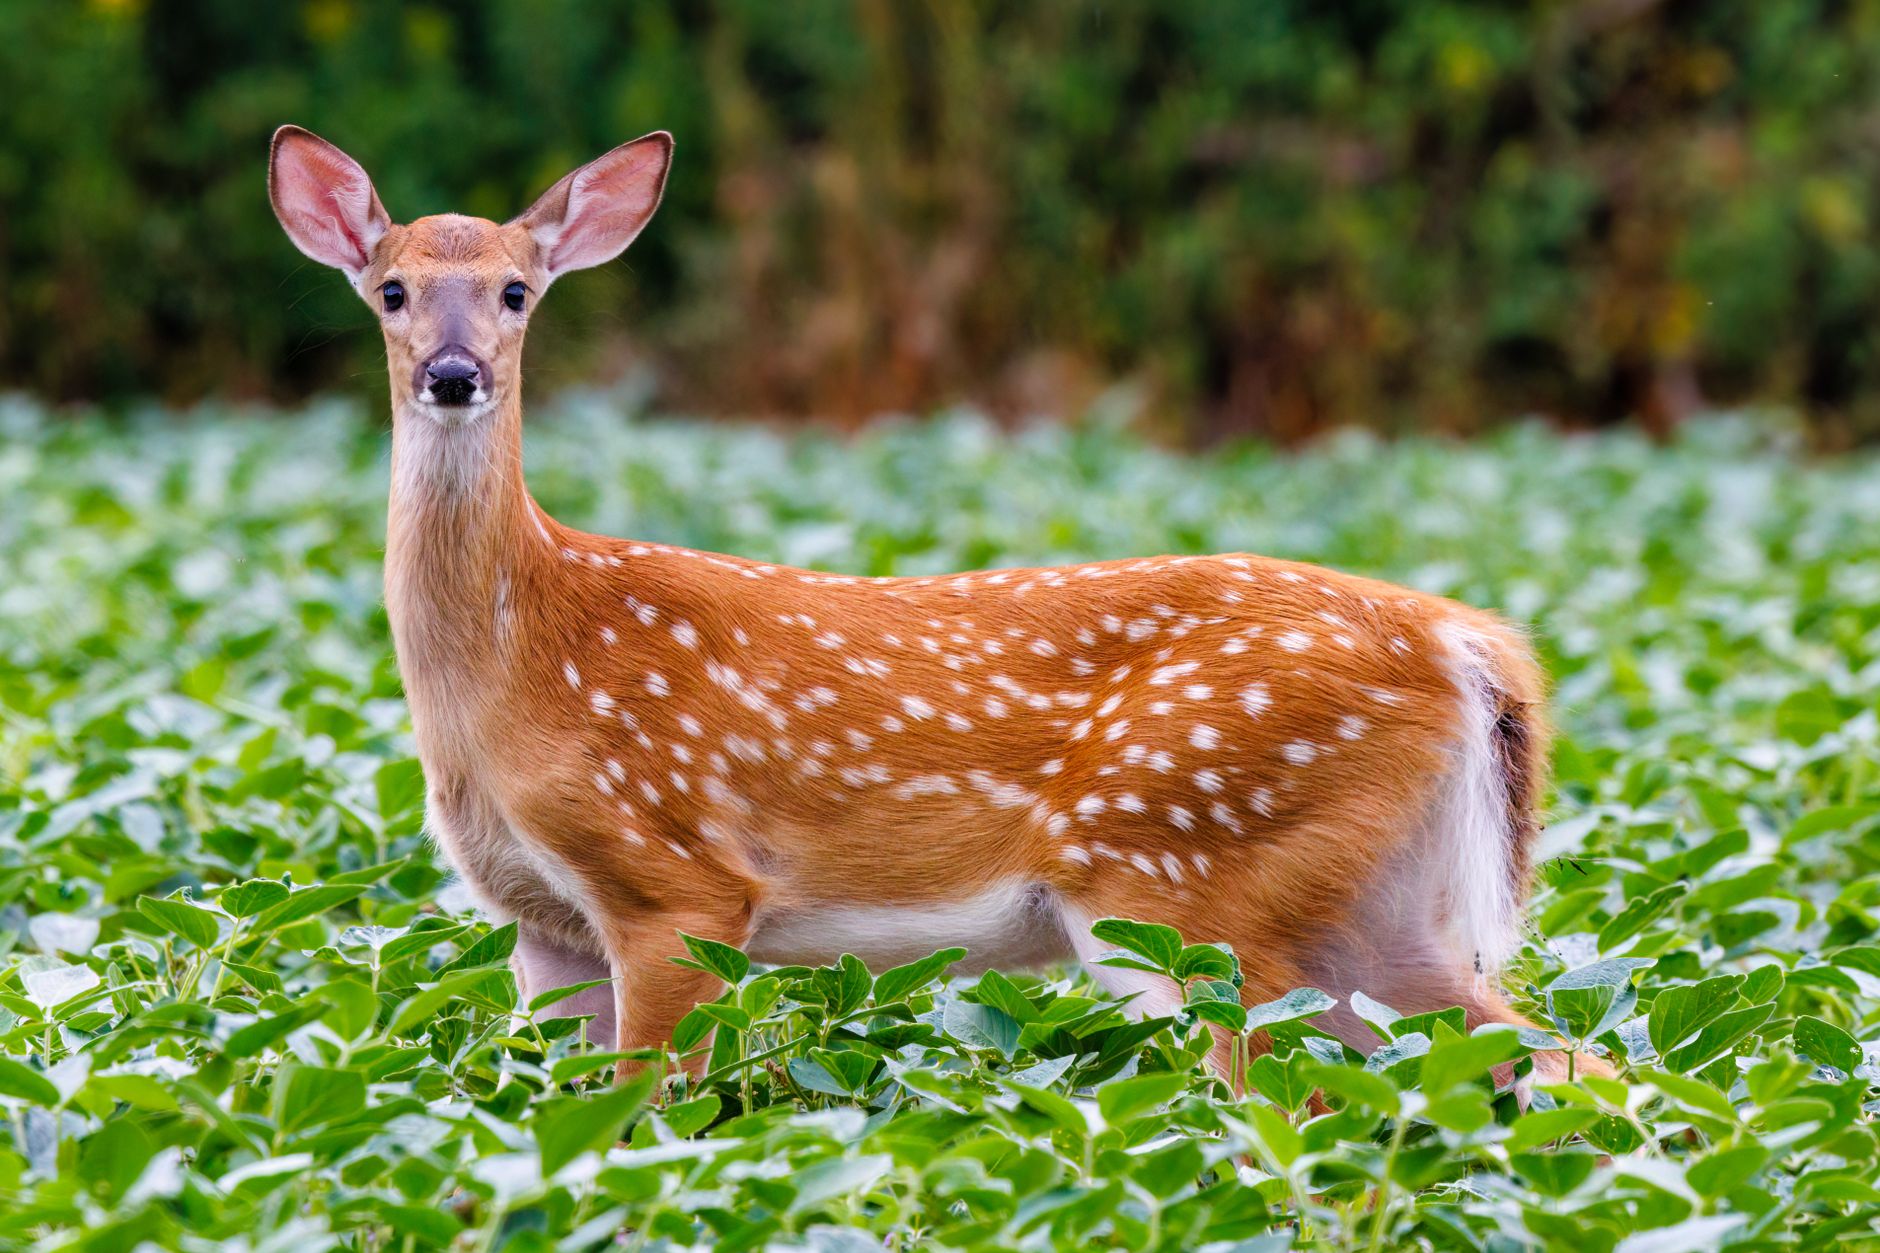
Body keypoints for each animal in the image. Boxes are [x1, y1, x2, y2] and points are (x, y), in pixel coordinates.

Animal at [268, 124, 1583, 1087]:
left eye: (514, 291)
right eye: (391, 290)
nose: (454, 374)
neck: (516, 667)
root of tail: (1471, 647)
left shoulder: (673, 877)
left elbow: (651, 1107)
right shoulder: (540, 922)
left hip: (1189, 875)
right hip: (1363, 906)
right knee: (1545, 1060)